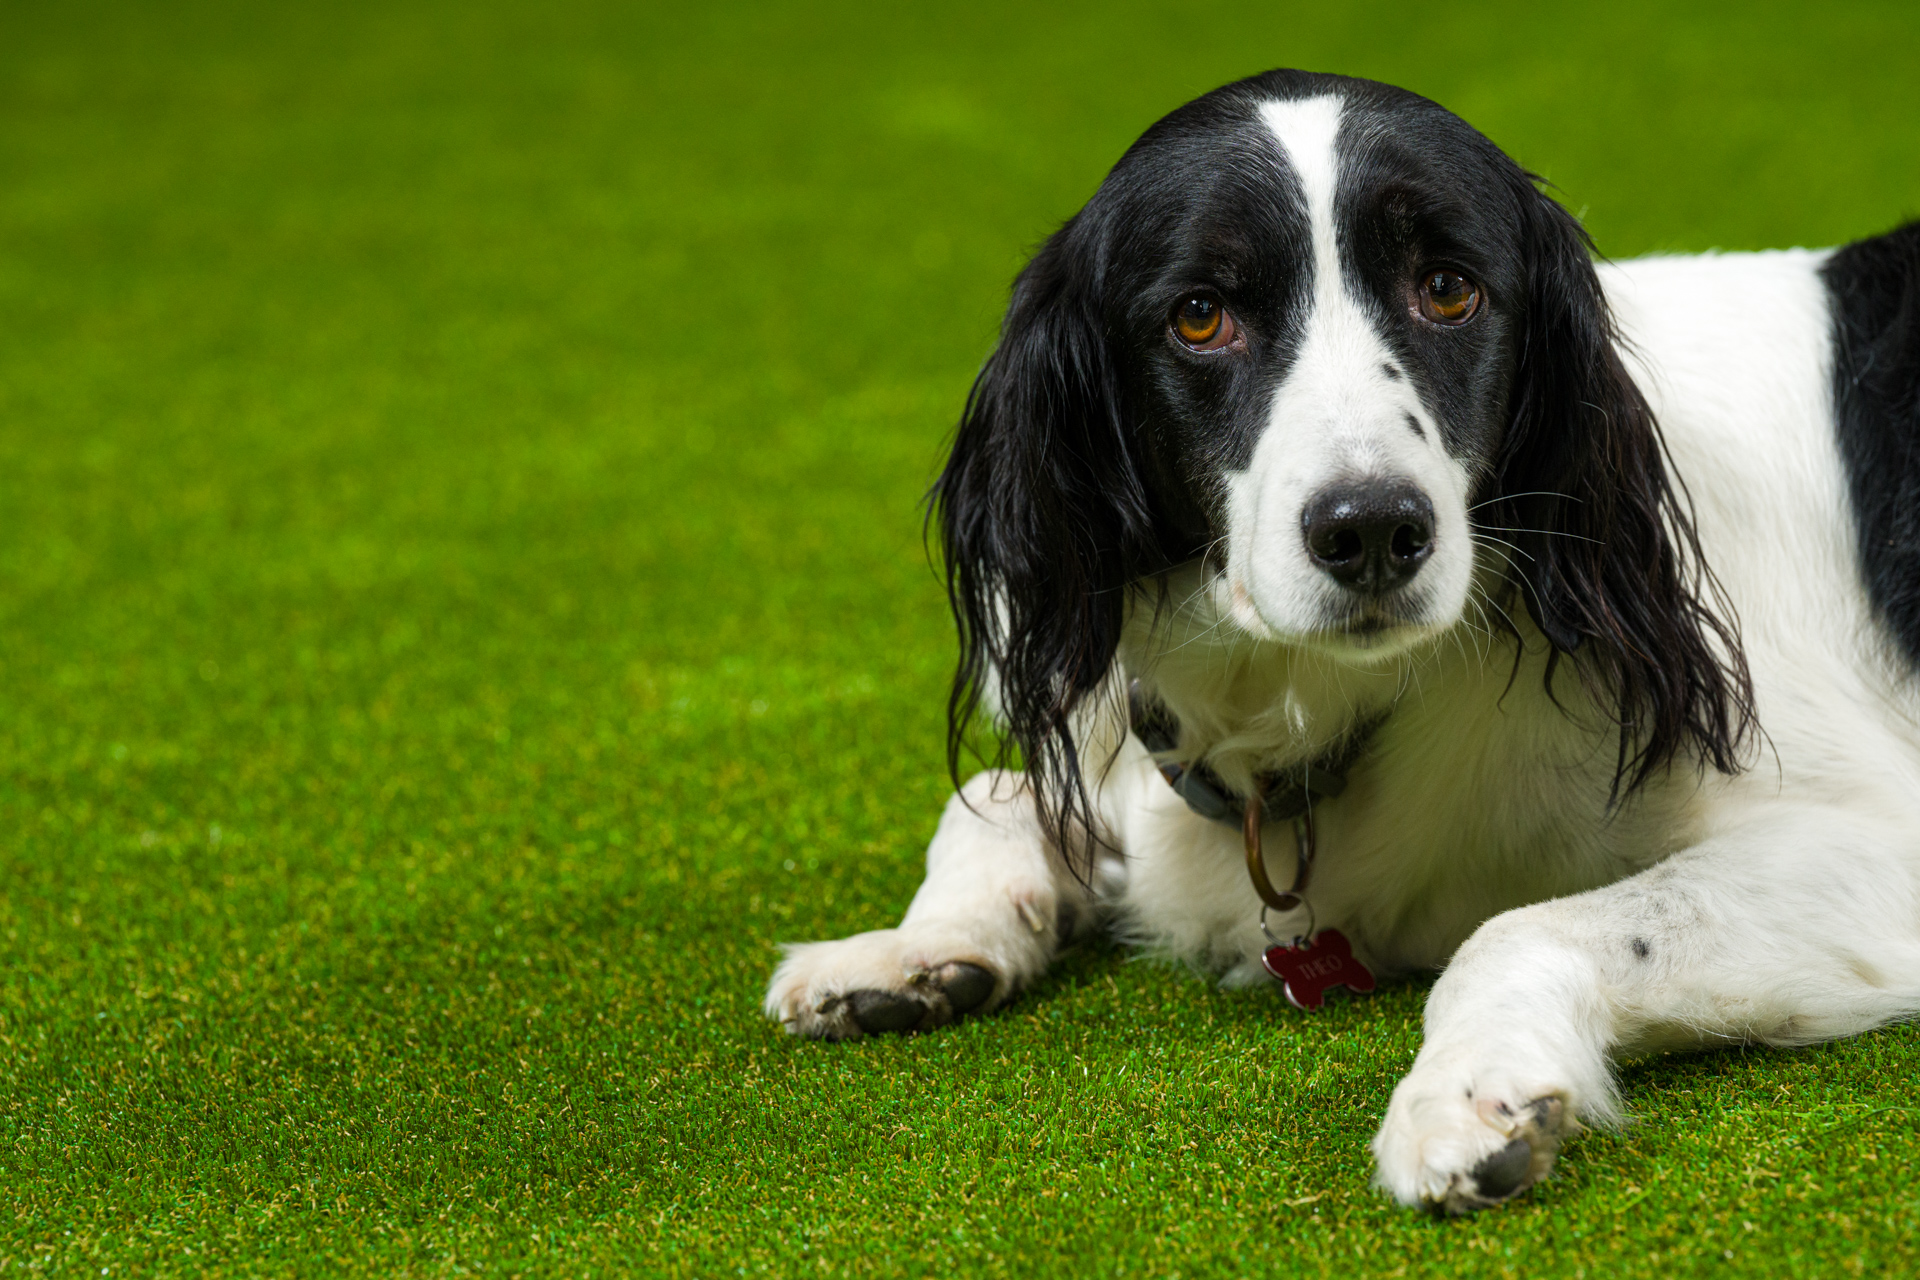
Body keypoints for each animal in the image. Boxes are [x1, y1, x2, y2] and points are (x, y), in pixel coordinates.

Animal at [760, 67, 1920, 1212]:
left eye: (1448, 288)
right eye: (1200, 315)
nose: (1371, 530)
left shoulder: (1875, 834)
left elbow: (1524, 924)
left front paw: (1466, 1095)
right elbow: (992, 795)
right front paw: (914, 946)